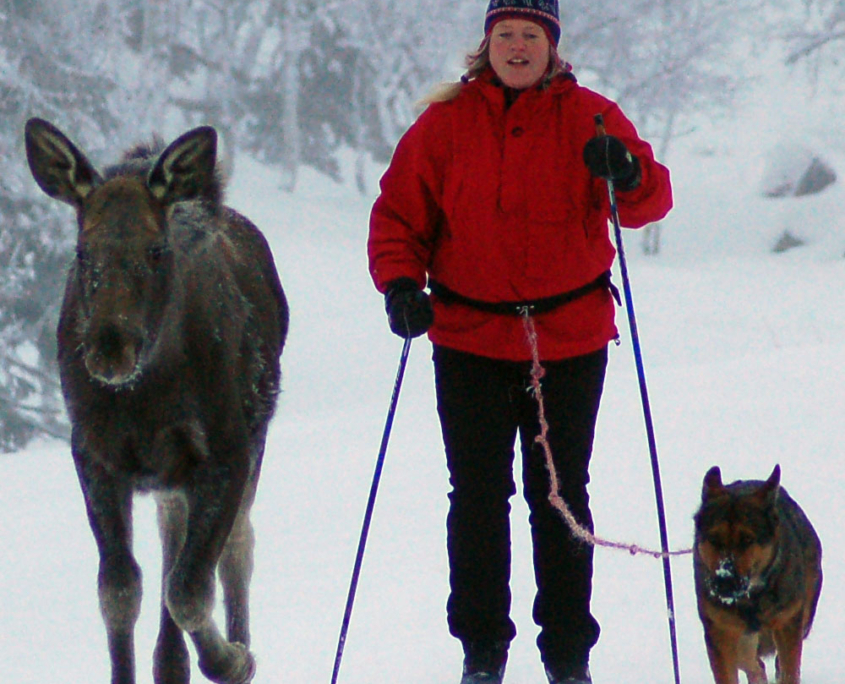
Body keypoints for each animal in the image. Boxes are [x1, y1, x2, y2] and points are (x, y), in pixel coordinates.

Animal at [696, 464, 820, 684]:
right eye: (714, 539)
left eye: (747, 540)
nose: (725, 582)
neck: (751, 598)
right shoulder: (720, 633)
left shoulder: (788, 623)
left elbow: (789, 670)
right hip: (740, 640)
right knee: (753, 664)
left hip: (804, 613)